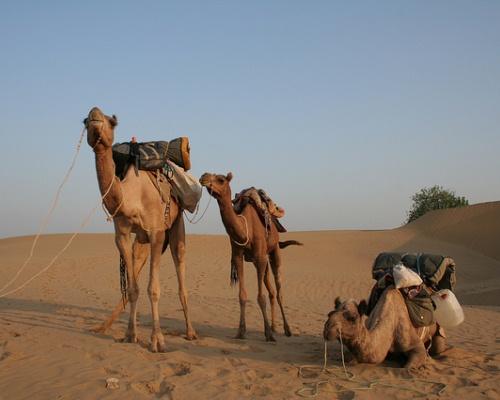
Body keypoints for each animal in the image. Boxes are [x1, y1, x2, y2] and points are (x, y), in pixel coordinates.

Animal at [85, 104, 196, 352]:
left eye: (112, 121)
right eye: (85, 121)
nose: (95, 112)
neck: (131, 196)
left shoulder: (157, 233)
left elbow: (153, 289)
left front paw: (157, 340)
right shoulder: (123, 235)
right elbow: (133, 289)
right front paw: (130, 335)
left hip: (176, 226)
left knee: (181, 267)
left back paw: (191, 332)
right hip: (141, 242)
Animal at [198, 171, 300, 340]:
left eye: (221, 179)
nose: (203, 177)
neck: (247, 229)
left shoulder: (259, 257)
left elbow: (260, 297)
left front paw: (267, 334)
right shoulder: (238, 257)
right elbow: (242, 295)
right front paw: (241, 331)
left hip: (273, 251)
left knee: (278, 290)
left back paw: (287, 329)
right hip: (261, 259)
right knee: (272, 291)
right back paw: (274, 327)